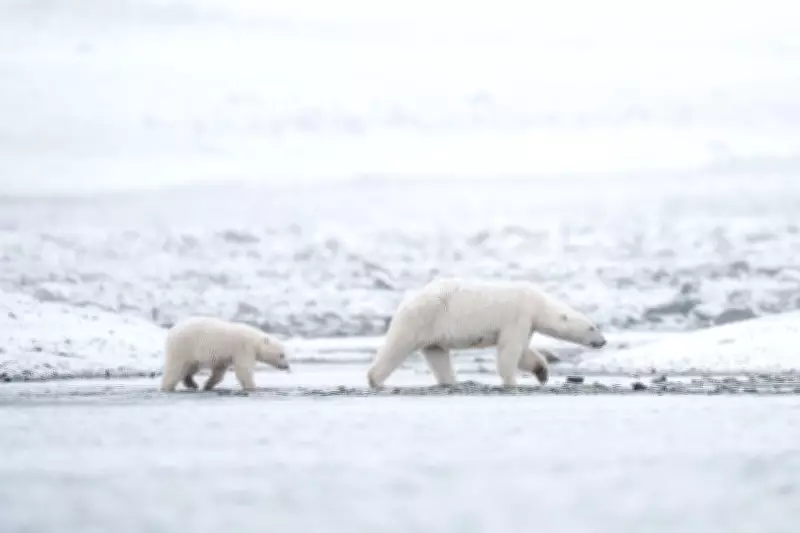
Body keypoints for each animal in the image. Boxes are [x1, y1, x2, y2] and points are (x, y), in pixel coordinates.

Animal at [159, 316, 289, 392]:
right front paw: (252, 387)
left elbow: (219, 371)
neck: (254, 340)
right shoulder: (243, 349)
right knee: (175, 369)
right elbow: (244, 370)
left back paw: (192, 384)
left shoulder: (225, 357)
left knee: (190, 367)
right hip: (183, 347)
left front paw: (208, 385)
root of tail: (171, 332)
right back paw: (167, 387)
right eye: (282, 355)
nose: (286, 366)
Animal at [366, 278, 606, 388]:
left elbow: (523, 353)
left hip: (432, 331)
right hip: (422, 318)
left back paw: (451, 382)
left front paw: (542, 372)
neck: (536, 302)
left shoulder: (526, 323)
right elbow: (509, 352)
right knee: (397, 347)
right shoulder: (518, 316)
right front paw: (512, 381)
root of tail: (405, 302)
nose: (603, 341)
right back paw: (374, 379)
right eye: (592, 327)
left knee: (438, 355)